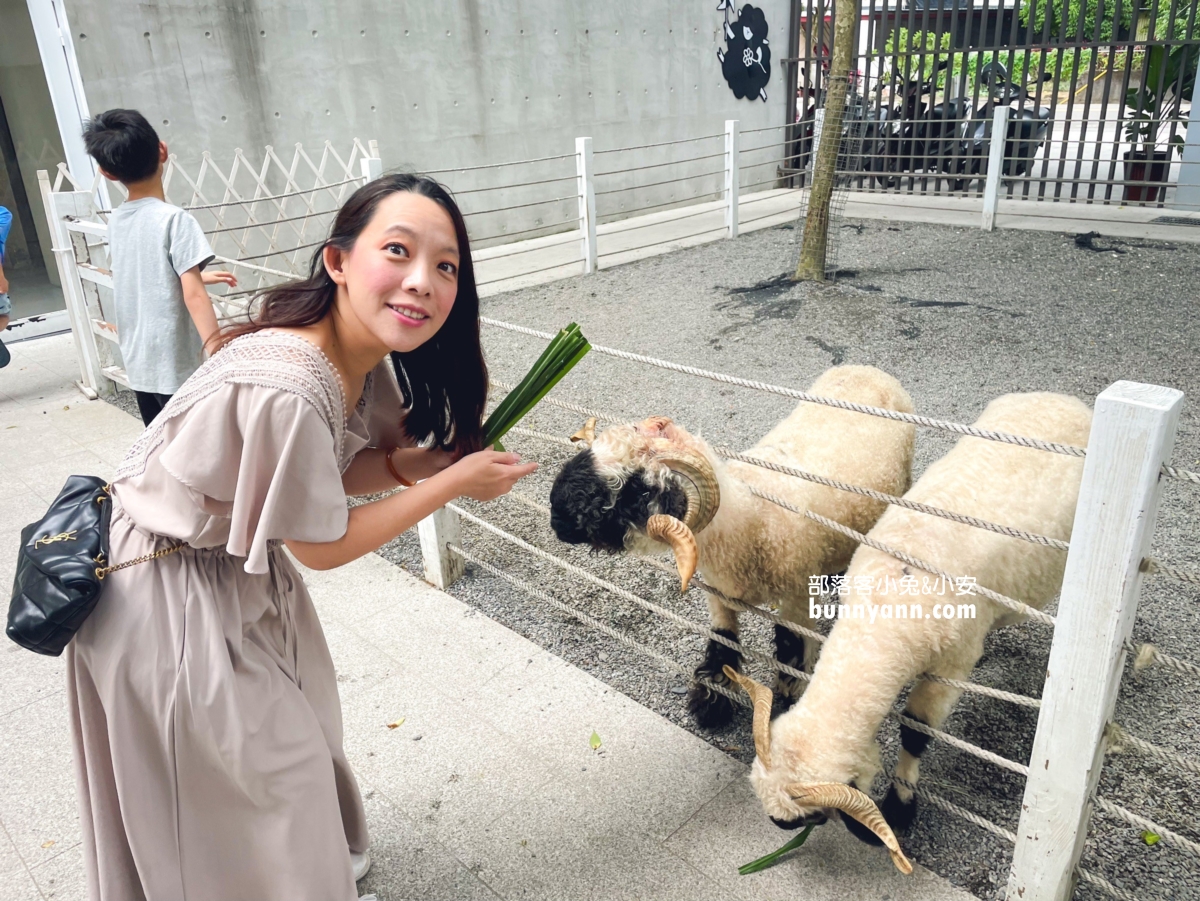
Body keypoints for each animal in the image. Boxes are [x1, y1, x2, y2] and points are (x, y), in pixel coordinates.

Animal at [549, 362, 912, 729]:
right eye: (593, 453)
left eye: (637, 488)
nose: (556, 514)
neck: (750, 520)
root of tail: (866, 368)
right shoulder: (718, 592)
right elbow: (723, 645)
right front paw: (712, 704)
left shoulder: (797, 594)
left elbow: (792, 650)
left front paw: (788, 700)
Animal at [724, 391, 1094, 868]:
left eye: (811, 819)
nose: (780, 828)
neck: (885, 616)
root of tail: (1061, 399)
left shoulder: (949, 667)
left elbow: (916, 731)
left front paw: (901, 807)